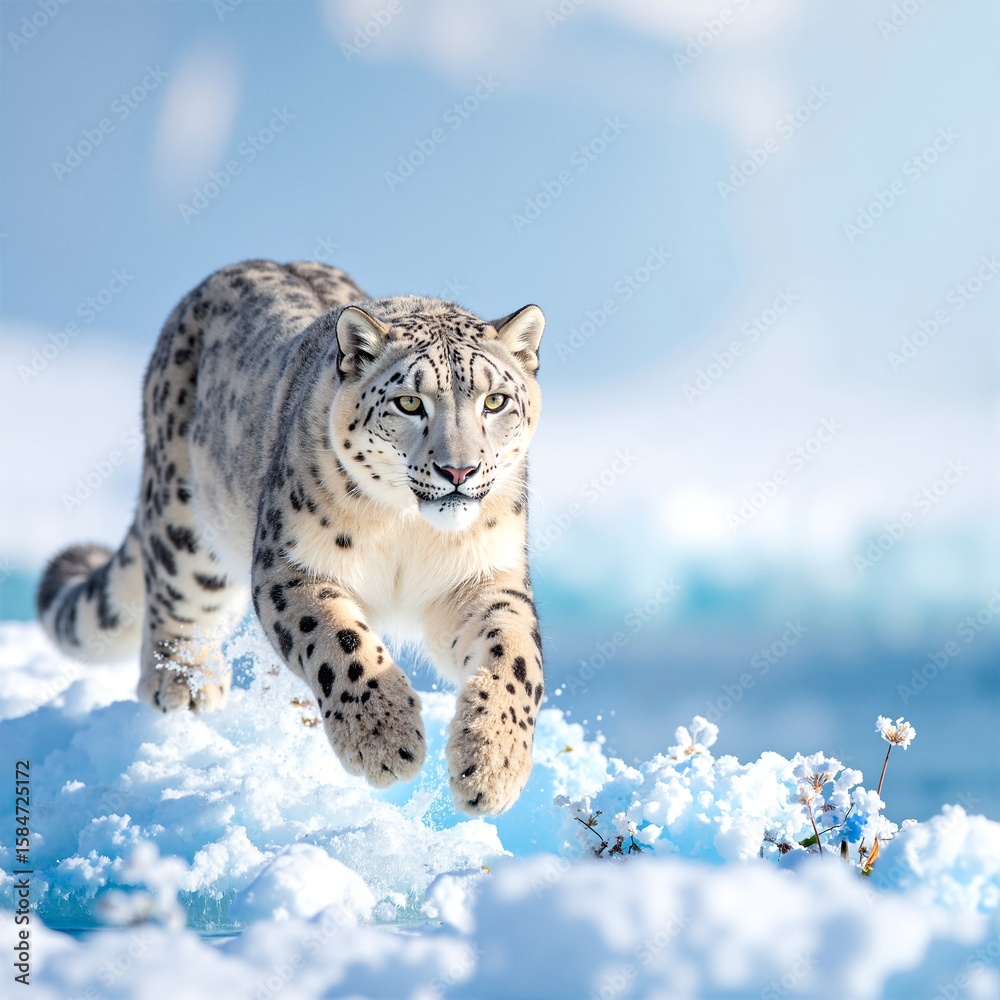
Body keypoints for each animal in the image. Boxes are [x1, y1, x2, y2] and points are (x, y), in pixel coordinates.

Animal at [36, 259, 546, 815]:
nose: (459, 469)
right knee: (179, 599)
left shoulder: (484, 578)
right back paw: (185, 683)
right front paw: (385, 738)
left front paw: (493, 764)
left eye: (494, 401)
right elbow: (337, 640)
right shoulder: (291, 566)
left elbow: (515, 656)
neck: (408, 531)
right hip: (185, 527)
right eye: (410, 403)